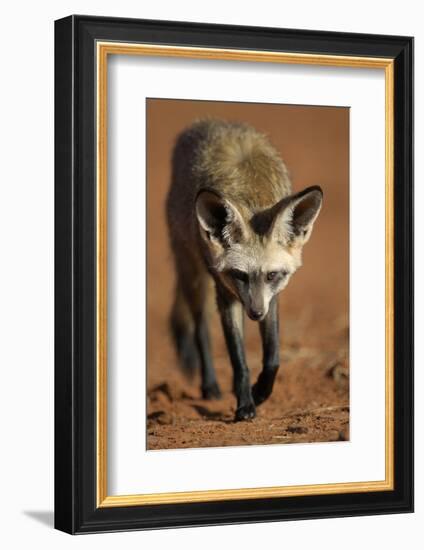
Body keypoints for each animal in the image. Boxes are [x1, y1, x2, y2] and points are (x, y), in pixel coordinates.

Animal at [166, 121, 322, 422]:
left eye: (272, 275)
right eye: (239, 275)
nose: (256, 313)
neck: (252, 194)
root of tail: (206, 123)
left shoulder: (271, 297)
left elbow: (273, 357)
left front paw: (261, 392)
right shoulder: (225, 292)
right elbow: (238, 359)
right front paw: (245, 404)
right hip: (194, 275)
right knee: (200, 329)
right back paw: (210, 386)